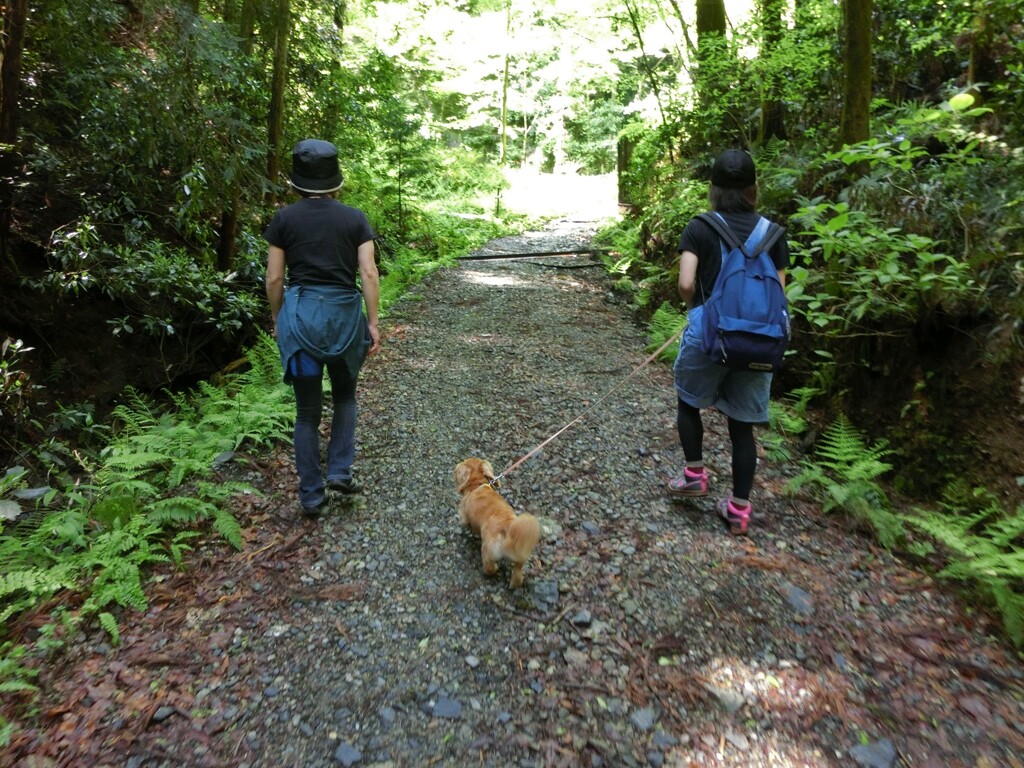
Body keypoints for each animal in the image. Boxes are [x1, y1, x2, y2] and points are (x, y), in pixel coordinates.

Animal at [452, 460, 540, 593]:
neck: (476, 485)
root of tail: (508, 527)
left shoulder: (464, 515)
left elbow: (465, 523)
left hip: (488, 551)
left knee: (489, 568)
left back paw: (494, 569)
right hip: (519, 560)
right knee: (517, 575)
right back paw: (513, 585)